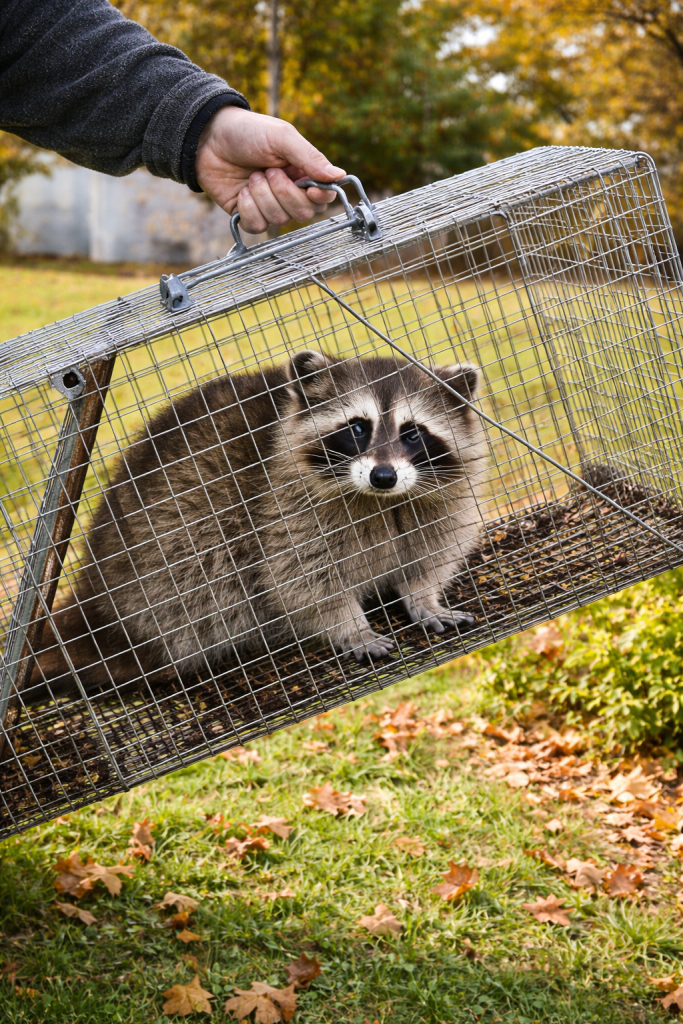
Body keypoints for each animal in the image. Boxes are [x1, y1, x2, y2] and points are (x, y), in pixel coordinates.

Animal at [30, 350, 487, 699]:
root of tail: (96, 597)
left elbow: (429, 555)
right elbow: (300, 579)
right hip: (166, 558)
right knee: (209, 570)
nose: (384, 476)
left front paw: (423, 596)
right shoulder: (281, 509)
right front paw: (349, 624)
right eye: (358, 428)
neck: (381, 502)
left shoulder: (437, 503)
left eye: (413, 433)